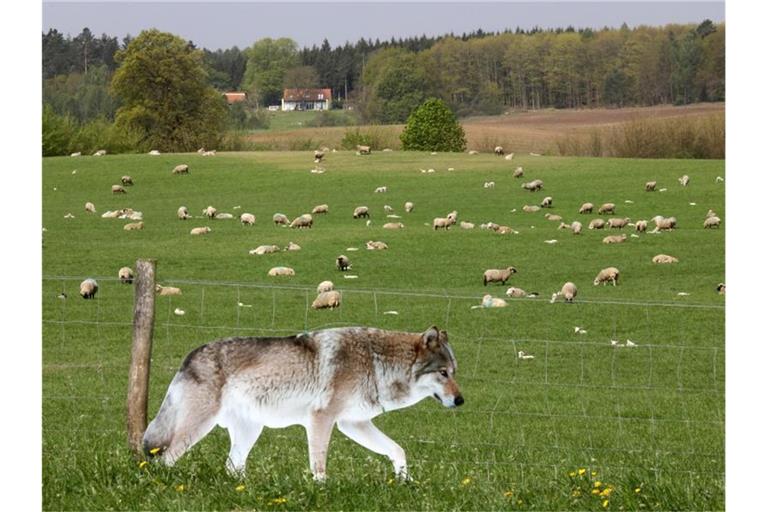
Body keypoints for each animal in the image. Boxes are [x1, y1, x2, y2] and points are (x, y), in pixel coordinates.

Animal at [142, 326, 462, 482]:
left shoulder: (353, 423)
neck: (376, 362)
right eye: (443, 373)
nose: (460, 400)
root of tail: (191, 354)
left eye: (454, 372)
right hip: (198, 428)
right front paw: (321, 490)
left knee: (231, 467)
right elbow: (318, 464)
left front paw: (405, 482)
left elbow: (398, 450)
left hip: (249, 432)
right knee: (165, 459)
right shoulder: (322, 419)